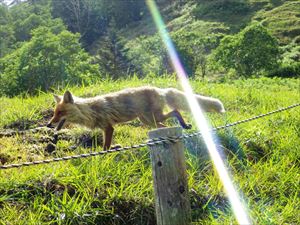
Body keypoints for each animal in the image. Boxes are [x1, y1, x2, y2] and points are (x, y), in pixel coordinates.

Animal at [47, 87, 225, 150]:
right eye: (54, 113)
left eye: (60, 113)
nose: (49, 124)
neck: (90, 110)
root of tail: (160, 89)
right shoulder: (106, 128)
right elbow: (108, 145)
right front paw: (114, 148)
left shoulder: (108, 127)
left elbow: (105, 147)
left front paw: (104, 155)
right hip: (148, 121)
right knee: (163, 125)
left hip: (153, 117)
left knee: (175, 111)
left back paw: (184, 124)